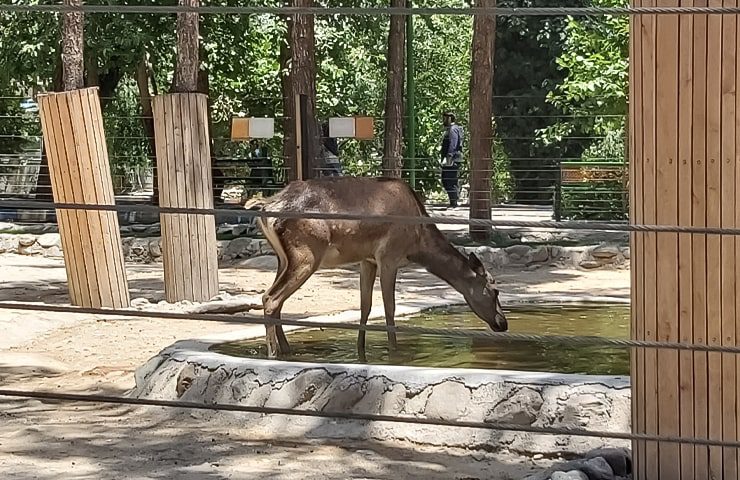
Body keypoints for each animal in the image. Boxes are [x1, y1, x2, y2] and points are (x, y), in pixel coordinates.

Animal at [244, 174, 508, 358]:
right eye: (495, 290)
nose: (503, 323)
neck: (418, 243)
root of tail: (266, 209)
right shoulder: (389, 256)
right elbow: (389, 308)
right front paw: (394, 352)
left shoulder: (367, 259)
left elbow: (366, 306)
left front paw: (361, 350)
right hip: (306, 254)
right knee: (271, 298)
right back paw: (274, 354)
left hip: (283, 258)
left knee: (275, 299)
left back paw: (287, 350)